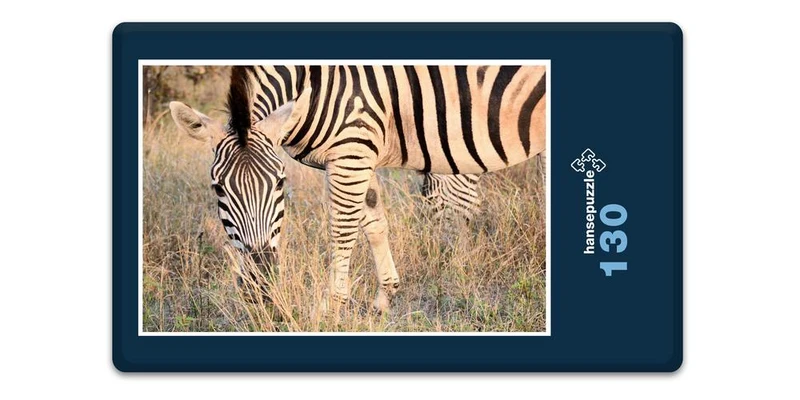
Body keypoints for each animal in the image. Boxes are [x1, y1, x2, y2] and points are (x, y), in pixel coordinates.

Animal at [169, 65, 546, 312]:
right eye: (218, 189)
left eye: (280, 182)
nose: (261, 277)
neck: (314, 85)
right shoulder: (355, 154)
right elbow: (374, 221)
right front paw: (385, 295)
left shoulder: (352, 149)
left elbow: (343, 228)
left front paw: (333, 305)